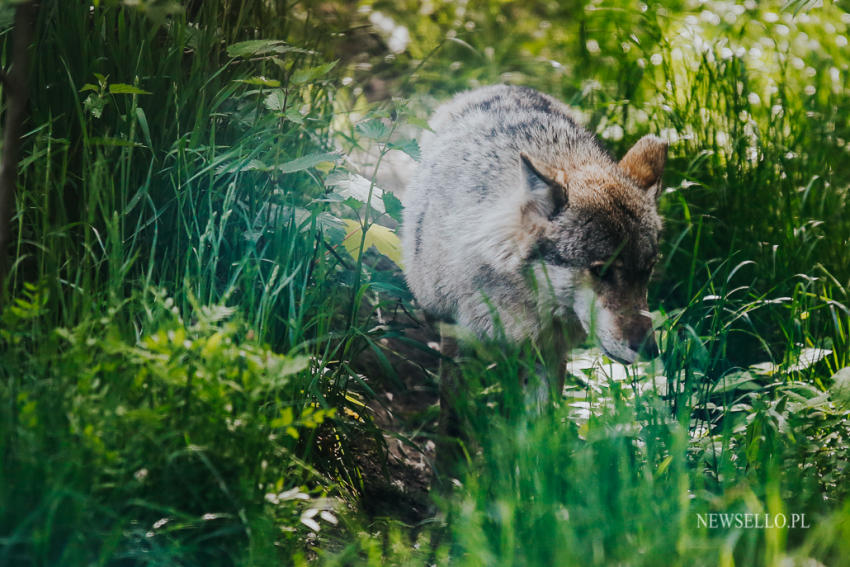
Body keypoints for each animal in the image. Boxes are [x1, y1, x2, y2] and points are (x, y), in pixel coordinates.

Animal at [400, 85, 664, 444]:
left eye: (647, 270)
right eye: (601, 270)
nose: (649, 349)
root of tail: (505, 86)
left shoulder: (550, 355)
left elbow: (538, 433)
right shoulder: (458, 341)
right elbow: (452, 430)